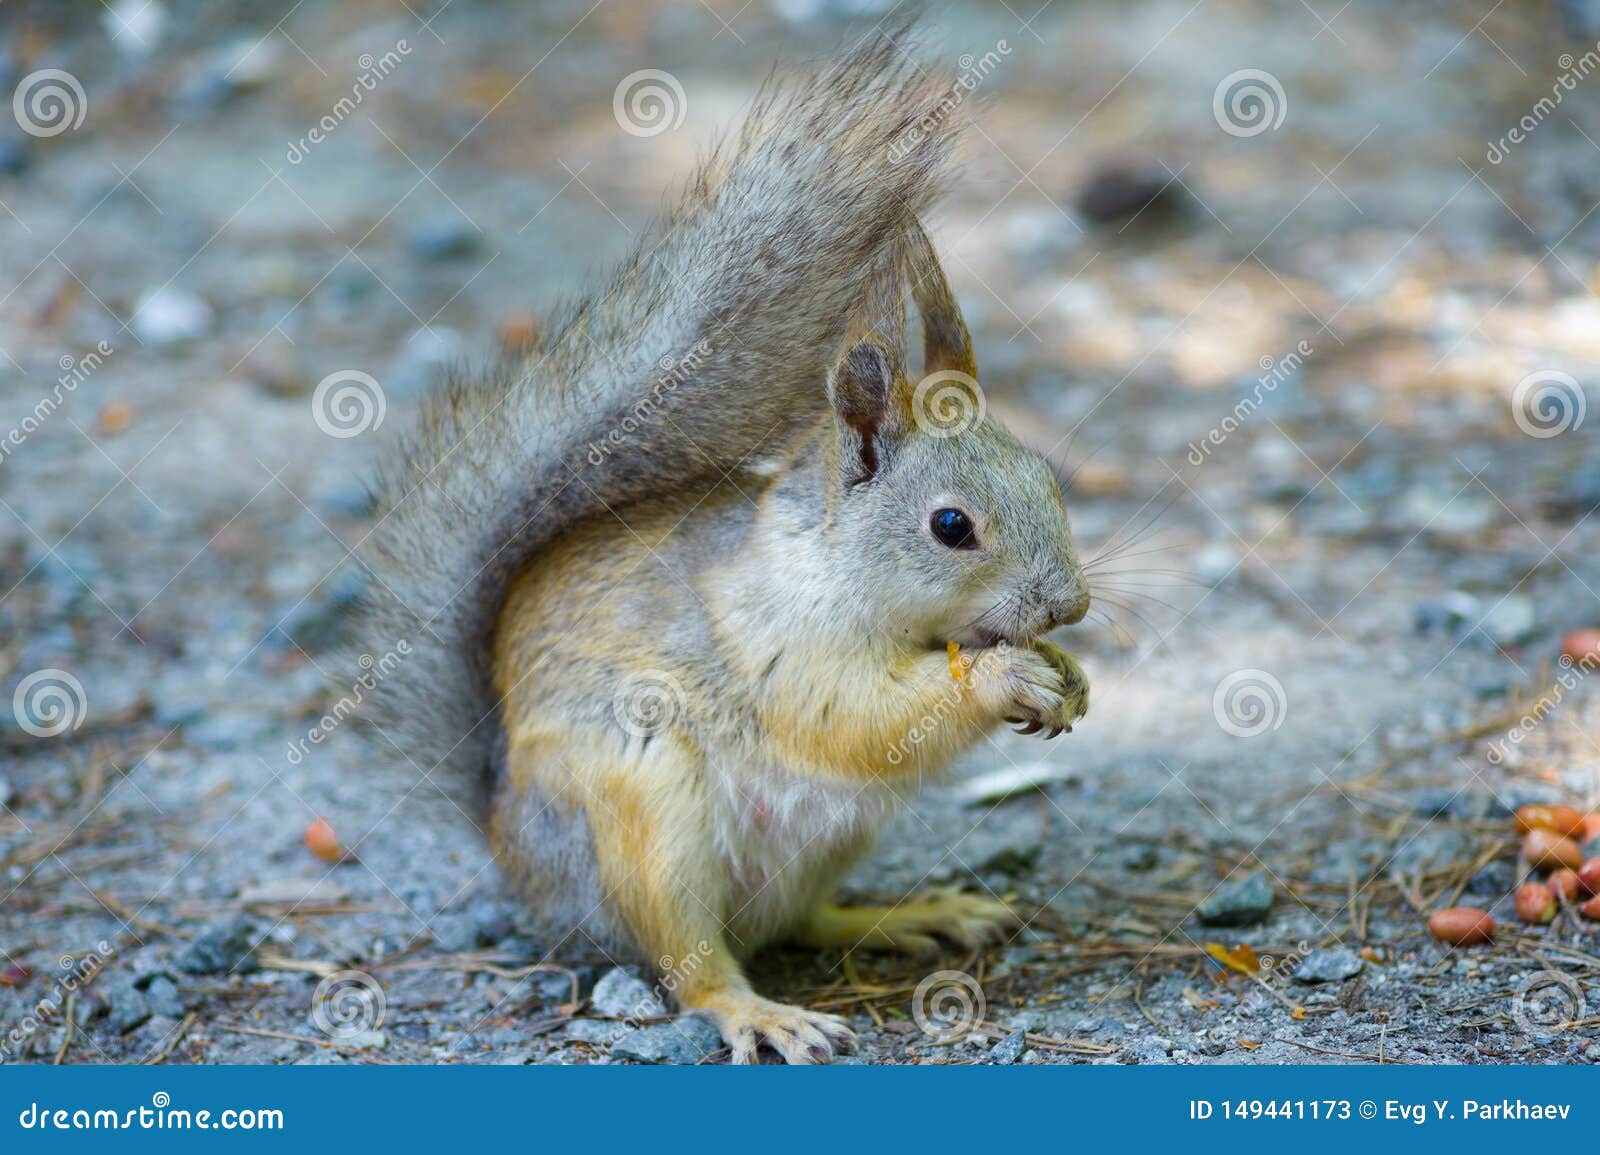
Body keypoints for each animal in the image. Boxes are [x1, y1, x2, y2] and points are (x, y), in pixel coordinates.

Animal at [354, 28, 1091, 1064]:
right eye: (952, 526)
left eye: (1048, 476)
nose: (1070, 606)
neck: (830, 561)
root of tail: (510, 845)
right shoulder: (773, 639)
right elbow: (852, 717)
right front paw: (1005, 677)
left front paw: (1068, 673)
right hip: (643, 809)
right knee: (692, 963)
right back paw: (760, 1011)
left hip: (824, 844)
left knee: (798, 921)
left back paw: (909, 914)